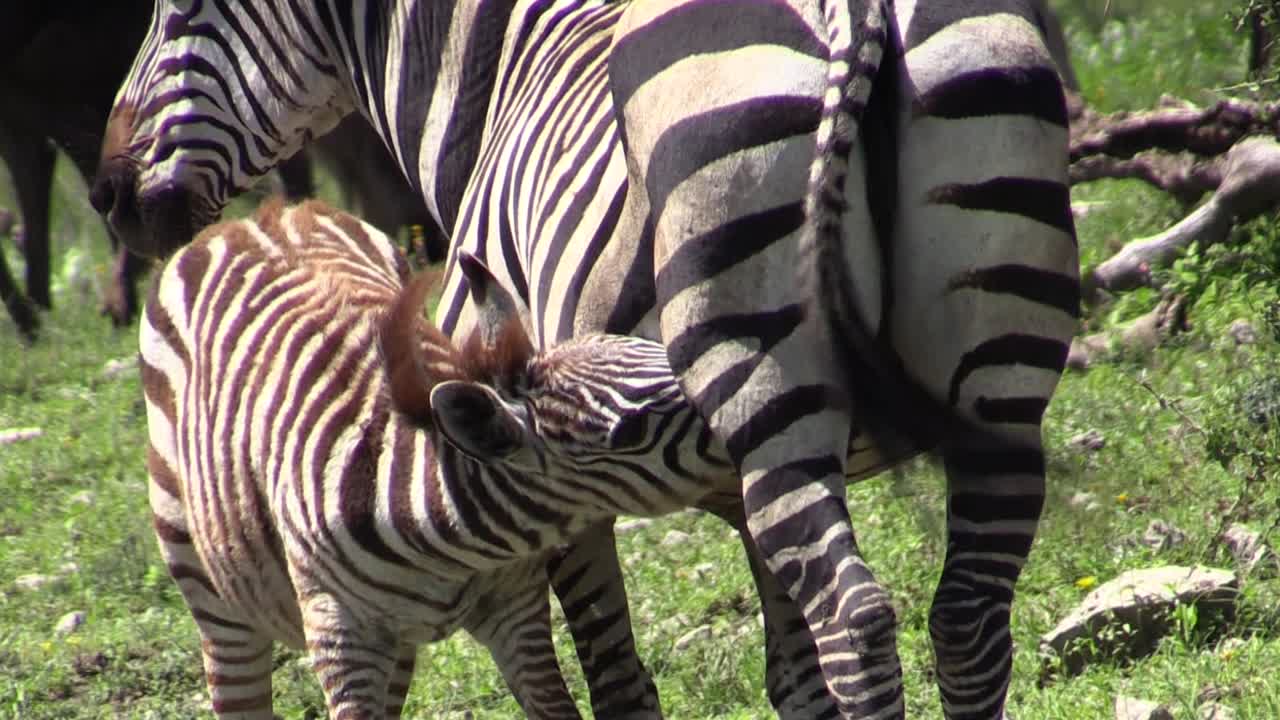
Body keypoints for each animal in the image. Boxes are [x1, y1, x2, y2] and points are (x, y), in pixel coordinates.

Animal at [143, 198, 727, 718]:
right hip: (212, 595)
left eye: (652, 351)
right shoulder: (340, 636)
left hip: (398, 647)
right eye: (630, 430)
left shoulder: (516, 606)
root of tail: (244, 221)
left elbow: (555, 709)